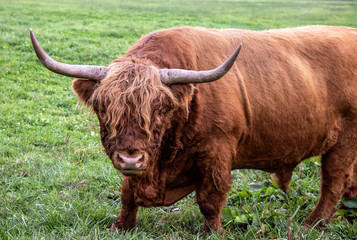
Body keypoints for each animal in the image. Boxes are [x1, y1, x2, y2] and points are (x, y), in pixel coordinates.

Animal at [29, 24, 356, 232]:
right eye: (102, 107)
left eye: (161, 108)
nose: (130, 158)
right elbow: (127, 193)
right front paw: (120, 227)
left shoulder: (217, 154)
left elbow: (210, 200)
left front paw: (212, 233)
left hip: (343, 142)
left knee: (333, 183)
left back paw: (313, 223)